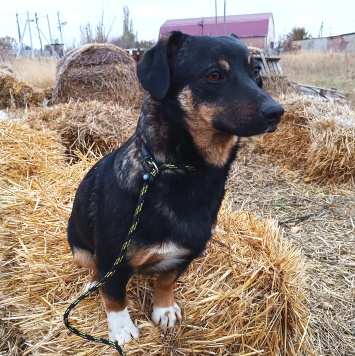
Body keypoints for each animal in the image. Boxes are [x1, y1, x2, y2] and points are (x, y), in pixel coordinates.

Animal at [67, 31, 284, 344]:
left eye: (255, 71)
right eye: (214, 75)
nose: (276, 112)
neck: (179, 172)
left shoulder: (186, 252)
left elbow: (167, 280)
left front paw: (164, 308)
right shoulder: (112, 258)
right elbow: (114, 296)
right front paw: (121, 329)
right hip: (79, 248)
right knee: (94, 269)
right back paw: (92, 283)